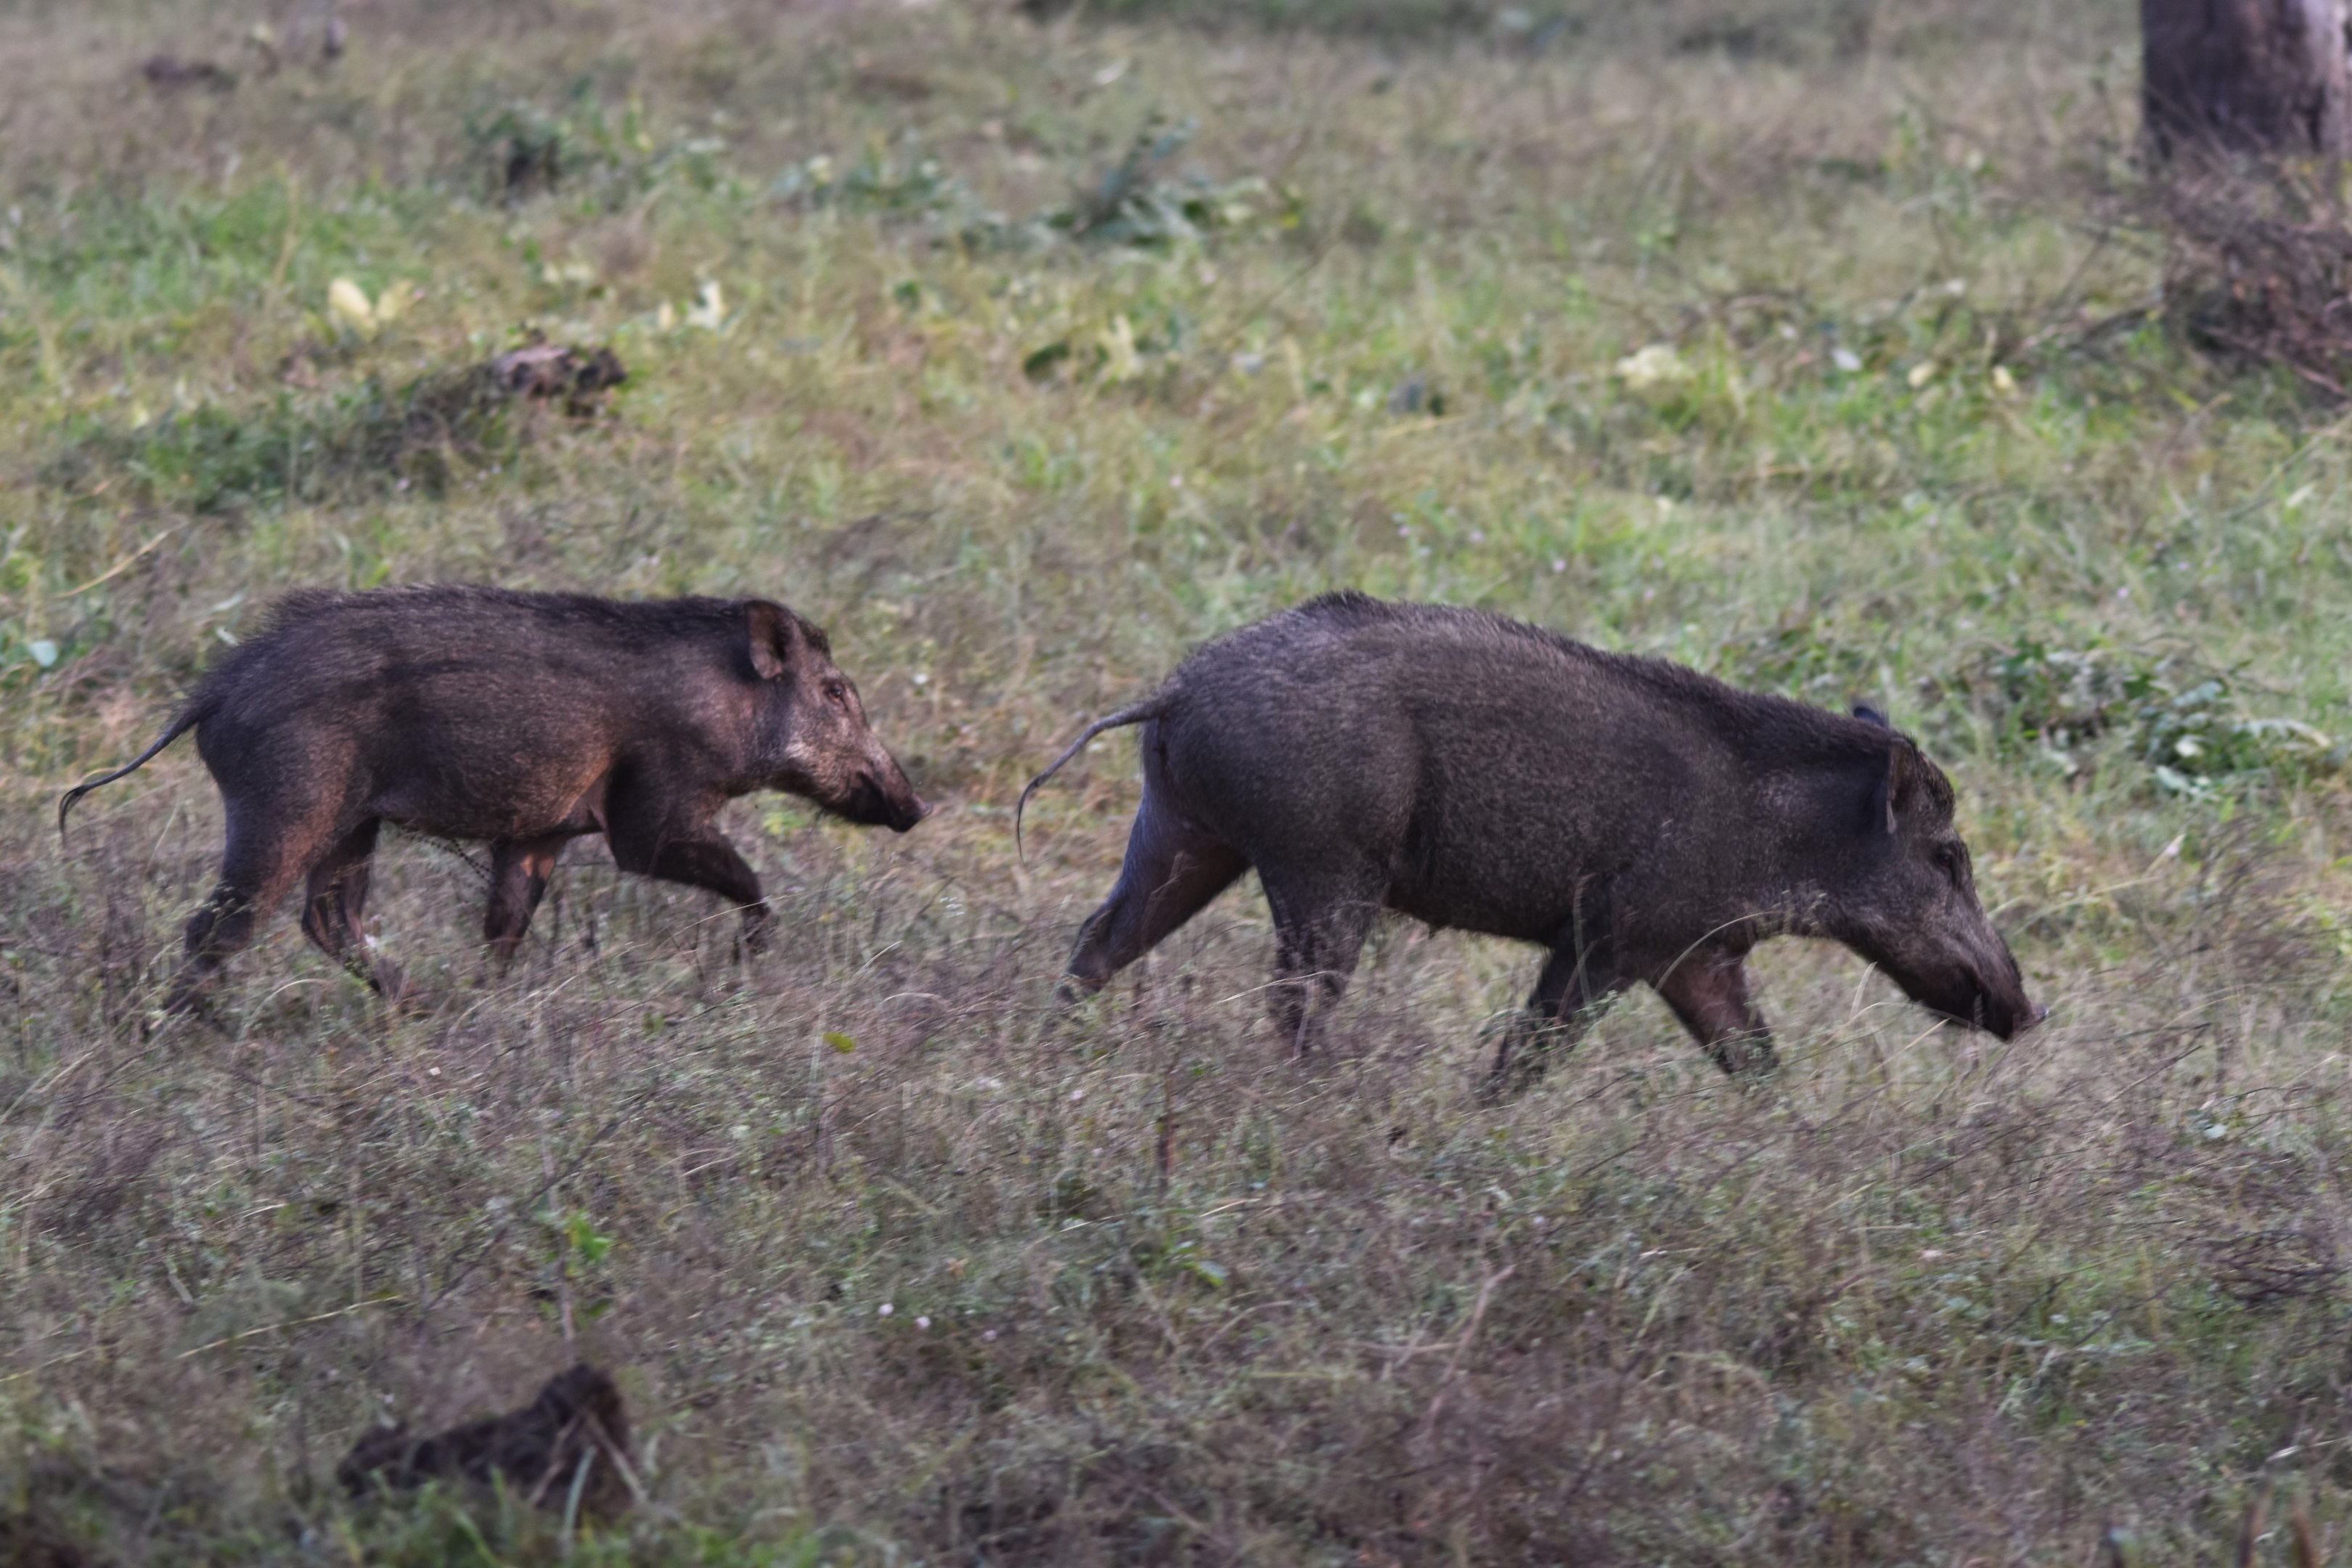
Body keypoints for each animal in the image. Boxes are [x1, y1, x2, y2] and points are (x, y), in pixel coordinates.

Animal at [58, 585, 928, 1010]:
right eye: (835, 691)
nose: (914, 807)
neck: (728, 703)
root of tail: (210, 694)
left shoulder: (540, 834)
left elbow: (505, 927)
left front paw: (494, 1005)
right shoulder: (651, 819)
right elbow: (748, 882)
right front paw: (748, 957)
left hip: (352, 825)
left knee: (328, 919)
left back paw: (418, 1006)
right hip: (286, 811)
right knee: (219, 926)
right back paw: (184, 1032)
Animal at [1018, 592, 2042, 1083]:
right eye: (1950, 857)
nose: (2029, 1013)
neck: (1781, 831)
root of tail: (1176, 692)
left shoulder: (1699, 959)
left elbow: (1759, 1066)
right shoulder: (1609, 938)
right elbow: (1528, 1059)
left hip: (1185, 837)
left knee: (1096, 945)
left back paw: (1049, 1060)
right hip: (1325, 870)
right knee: (1295, 1006)